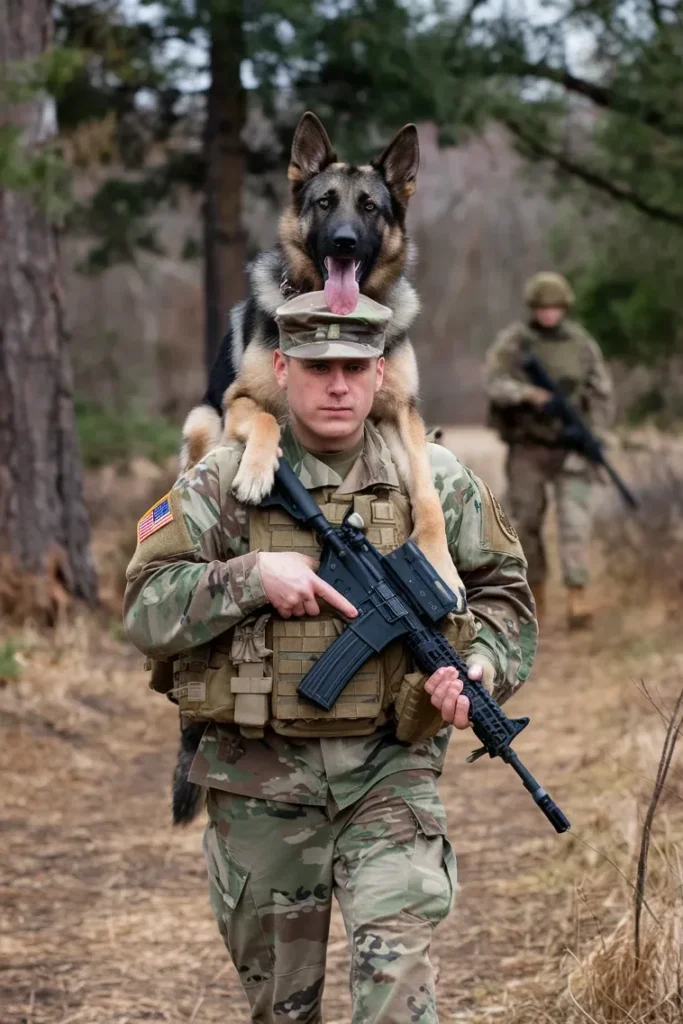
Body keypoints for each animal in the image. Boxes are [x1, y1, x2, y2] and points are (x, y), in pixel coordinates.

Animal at [174, 110, 466, 823]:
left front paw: (439, 568)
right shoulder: (238, 399)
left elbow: (425, 493)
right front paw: (258, 472)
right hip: (199, 421)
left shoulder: (403, 413)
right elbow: (267, 419)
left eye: (371, 207)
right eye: (325, 202)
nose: (342, 242)